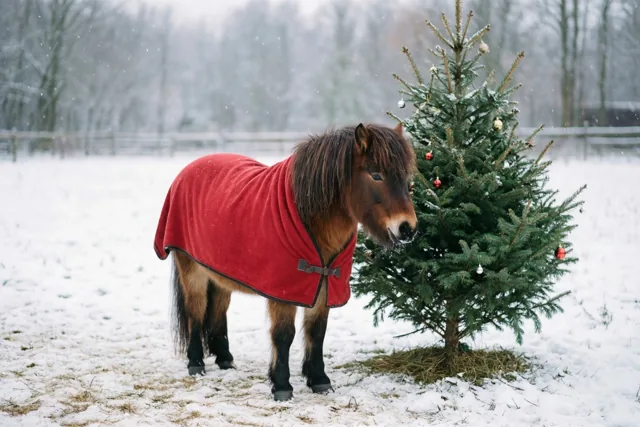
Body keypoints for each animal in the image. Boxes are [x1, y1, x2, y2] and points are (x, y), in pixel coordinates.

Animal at [153, 122, 417, 401]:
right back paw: (196, 363)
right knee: (195, 310)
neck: (308, 215)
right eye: (376, 175)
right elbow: (283, 334)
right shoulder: (283, 291)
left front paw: (319, 380)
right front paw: (281, 385)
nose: (407, 228)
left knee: (217, 311)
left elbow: (317, 331)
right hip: (191, 269)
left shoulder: (323, 284)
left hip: (220, 273)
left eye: (405, 177)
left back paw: (225, 359)